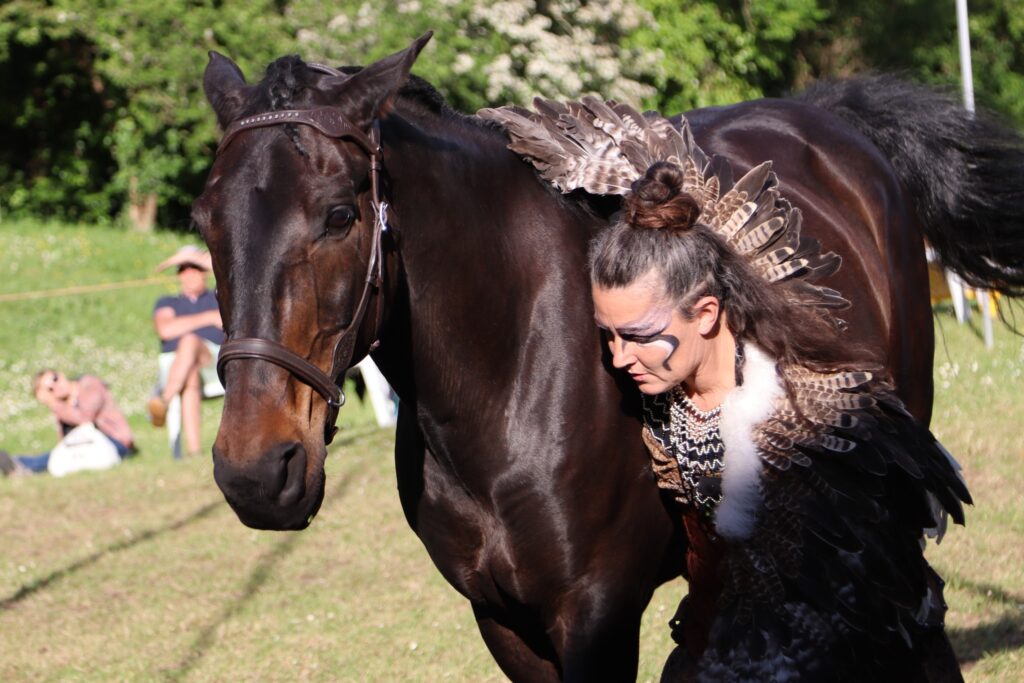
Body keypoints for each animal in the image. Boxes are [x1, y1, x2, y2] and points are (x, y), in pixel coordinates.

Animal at [193, 36, 1024, 683]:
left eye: (340, 214)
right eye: (205, 220)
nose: (255, 472)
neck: (508, 375)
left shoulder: (596, 615)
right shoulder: (505, 621)